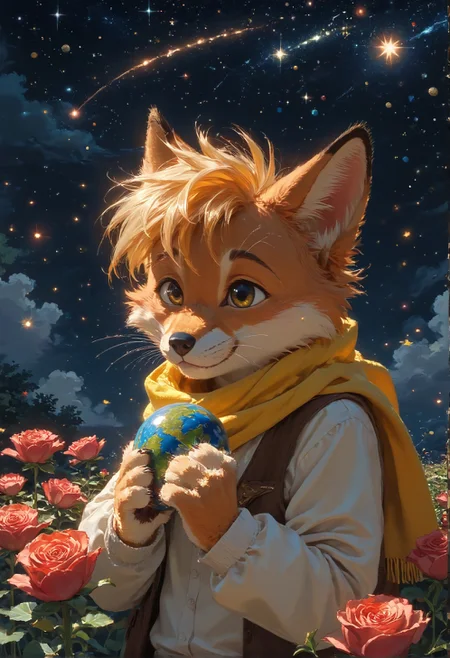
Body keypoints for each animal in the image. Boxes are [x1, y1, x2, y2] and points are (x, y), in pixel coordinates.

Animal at [79, 108, 436, 658]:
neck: (238, 396)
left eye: (243, 294)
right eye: (171, 290)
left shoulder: (346, 431)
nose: (178, 343)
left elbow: (329, 577)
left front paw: (206, 492)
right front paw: (130, 496)